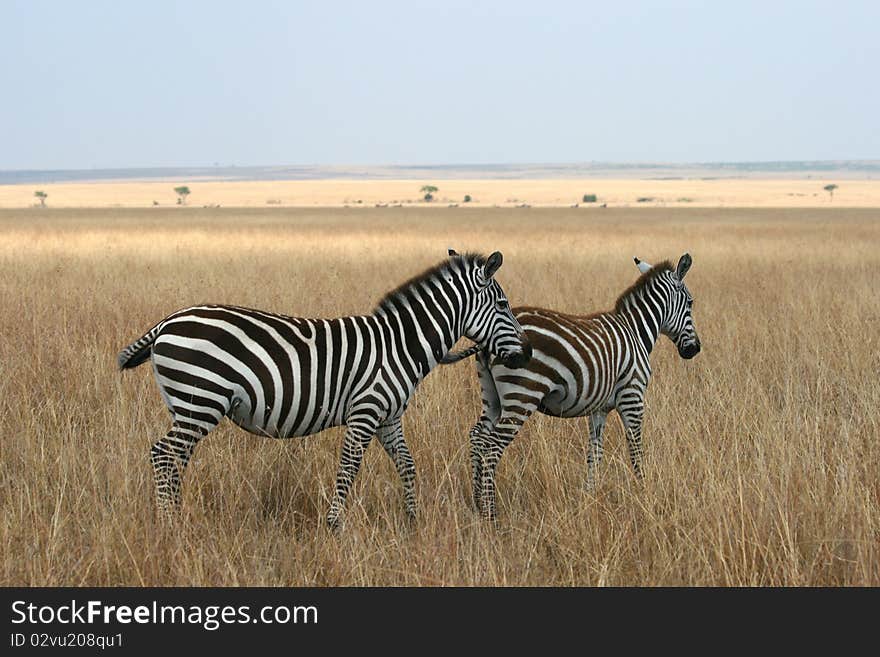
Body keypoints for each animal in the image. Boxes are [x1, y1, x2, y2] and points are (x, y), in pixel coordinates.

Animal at [117, 250, 528, 528]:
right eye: (503, 304)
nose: (525, 353)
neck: (401, 344)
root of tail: (168, 322)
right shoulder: (366, 411)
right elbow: (348, 467)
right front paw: (334, 525)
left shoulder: (389, 417)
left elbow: (407, 466)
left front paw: (412, 521)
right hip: (201, 400)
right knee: (163, 454)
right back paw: (169, 524)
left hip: (185, 405)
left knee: (175, 458)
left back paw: (176, 514)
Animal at [444, 254, 704, 520]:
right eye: (691, 303)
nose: (694, 349)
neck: (636, 331)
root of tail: (486, 342)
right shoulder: (632, 396)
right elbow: (636, 449)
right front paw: (643, 491)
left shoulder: (599, 409)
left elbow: (594, 454)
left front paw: (590, 497)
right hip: (522, 395)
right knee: (492, 448)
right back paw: (491, 514)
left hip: (492, 396)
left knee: (477, 437)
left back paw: (477, 505)